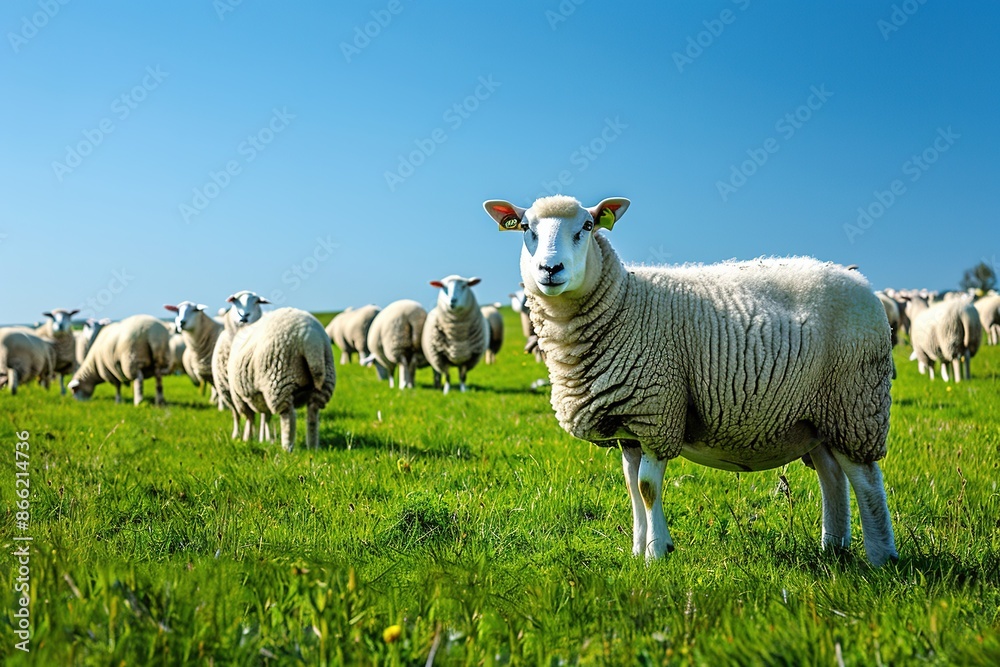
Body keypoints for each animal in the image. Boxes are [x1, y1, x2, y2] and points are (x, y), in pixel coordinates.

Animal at [211, 290, 270, 438]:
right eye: (234, 300)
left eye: (257, 301)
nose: (244, 316)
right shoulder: (229, 392)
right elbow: (236, 415)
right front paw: (236, 436)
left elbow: (259, 416)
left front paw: (260, 438)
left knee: (263, 415)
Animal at [227, 307, 335, 451]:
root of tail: (311, 339)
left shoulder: (238, 397)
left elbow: (250, 418)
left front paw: (247, 439)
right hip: (326, 376)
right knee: (313, 412)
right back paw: (312, 446)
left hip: (278, 377)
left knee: (288, 415)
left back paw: (287, 447)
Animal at [483, 194, 898, 566]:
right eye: (526, 228)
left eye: (586, 226)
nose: (550, 269)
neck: (625, 302)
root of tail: (862, 282)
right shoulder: (629, 426)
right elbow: (632, 488)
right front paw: (637, 550)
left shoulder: (657, 410)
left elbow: (648, 489)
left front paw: (657, 553)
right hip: (818, 414)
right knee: (832, 475)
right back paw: (834, 547)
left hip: (855, 401)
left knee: (865, 478)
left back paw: (881, 556)